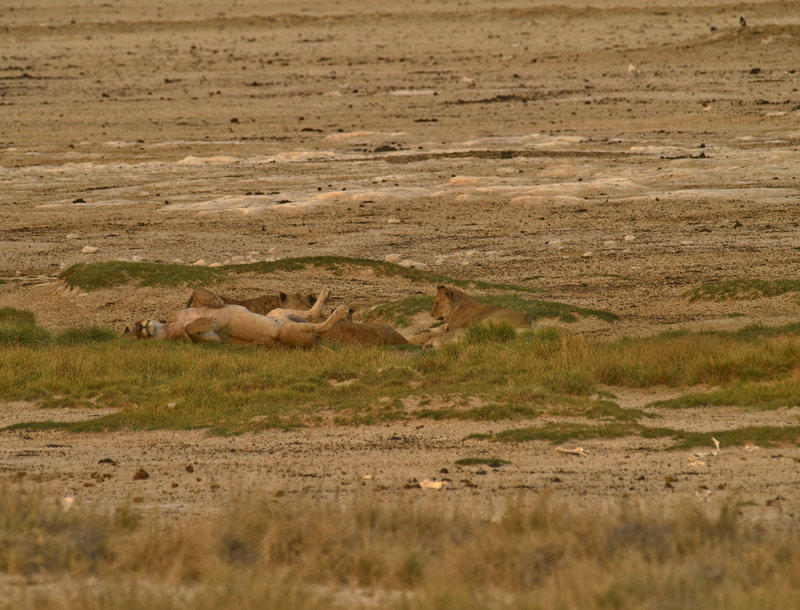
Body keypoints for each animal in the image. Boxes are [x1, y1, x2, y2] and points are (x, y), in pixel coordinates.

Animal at [131, 289, 348, 348]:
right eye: (137, 335)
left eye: (135, 329)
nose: (138, 327)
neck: (168, 327)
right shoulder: (213, 340)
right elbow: (191, 332)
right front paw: (208, 321)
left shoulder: (186, 310)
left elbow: (198, 291)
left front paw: (217, 302)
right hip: (285, 332)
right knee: (319, 327)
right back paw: (341, 310)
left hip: (276, 313)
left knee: (311, 315)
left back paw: (325, 294)